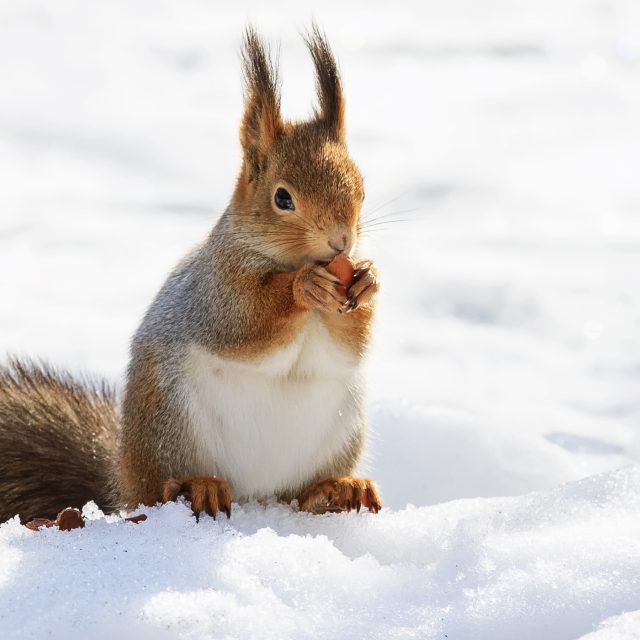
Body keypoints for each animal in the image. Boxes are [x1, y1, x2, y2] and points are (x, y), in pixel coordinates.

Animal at [0, 26, 381, 524]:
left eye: (361, 187)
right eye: (283, 198)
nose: (341, 242)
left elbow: (348, 346)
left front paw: (368, 280)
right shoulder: (217, 290)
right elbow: (249, 323)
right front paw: (304, 287)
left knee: (301, 495)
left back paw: (337, 488)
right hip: (167, 428)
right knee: (160, 490)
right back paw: (198, 486)